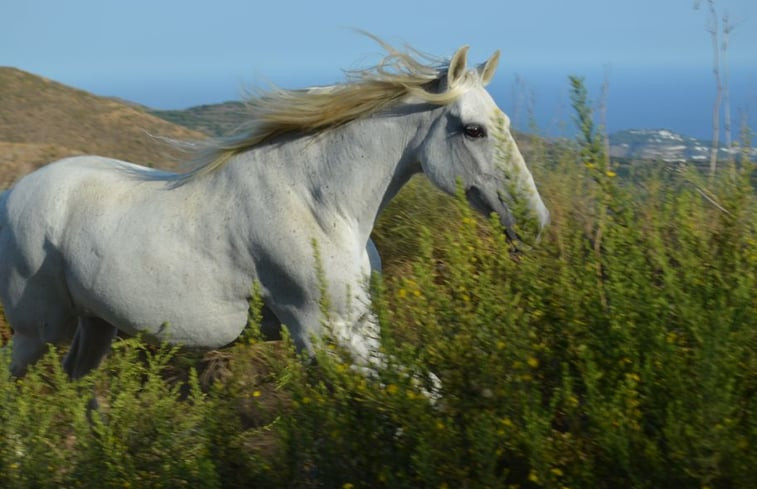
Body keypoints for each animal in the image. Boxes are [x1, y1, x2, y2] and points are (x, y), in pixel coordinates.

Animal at [0, 41, 548, 378]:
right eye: (473, 129)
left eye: (504, 120)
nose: (535, 222)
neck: (318, 204)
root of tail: (13, 192)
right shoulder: (322, 335)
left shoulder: (358, 328)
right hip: (36, 331)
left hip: (94, 326)